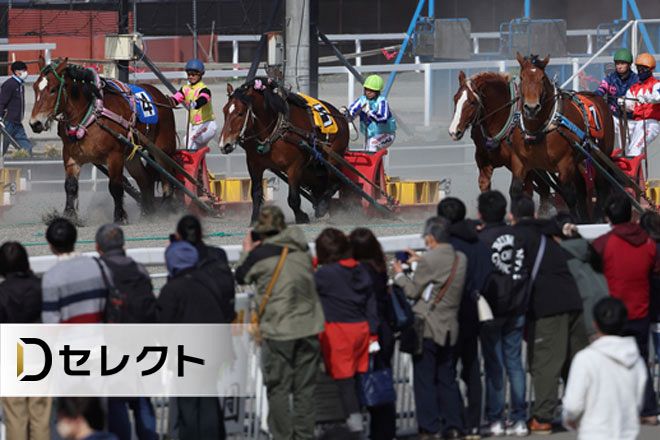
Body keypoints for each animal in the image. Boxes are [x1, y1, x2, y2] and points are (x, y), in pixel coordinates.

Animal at [29, 57, 177, 223]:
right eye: (35, 88)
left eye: (53, 89)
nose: (35, 123)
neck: (90, 116)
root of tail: (163, 98)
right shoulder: (71, 156)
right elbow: (70, 186)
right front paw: (69, 214)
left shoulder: (115, 156)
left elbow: (115, 187)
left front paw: (120, 216)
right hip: (132, 157)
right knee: (145, 181)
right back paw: (147, 213)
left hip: (163, 149)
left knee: (168, 177)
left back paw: (165, 209)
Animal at [218, 77, 354, 223]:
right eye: (224, 111)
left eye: (240, 113)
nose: (224, 144)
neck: (274, 132)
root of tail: (340, 116)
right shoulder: (254, 165)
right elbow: (256, 193)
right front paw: (255, 218)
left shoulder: (294, 167)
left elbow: (293, 198)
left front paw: (301, 216)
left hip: (333, 157)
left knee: (336, 182)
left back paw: (322, 206)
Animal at [448, 70, 552, 210]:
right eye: (455, 98)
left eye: (472, 102)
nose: (454, 131)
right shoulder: (483, 160)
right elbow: (484, 185)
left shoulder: (521, 164)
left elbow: (519, 191)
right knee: (544, 188)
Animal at [516, 53, 612, 222]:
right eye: (522, 77)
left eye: (542, 78)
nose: (531, 108)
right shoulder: (526, 164)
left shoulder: (565, 163)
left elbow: (568, 194)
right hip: (579, 161)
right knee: (583, 189)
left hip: (600, 156)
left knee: (601, 187)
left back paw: (597, 217)